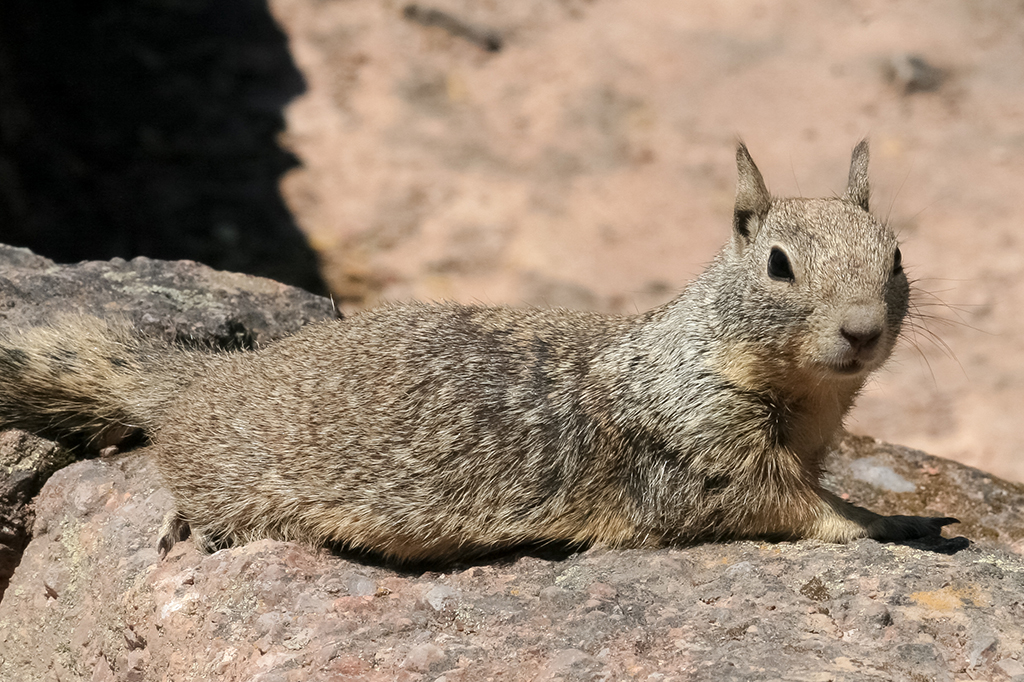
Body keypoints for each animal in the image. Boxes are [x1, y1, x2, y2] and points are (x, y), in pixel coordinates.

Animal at [0, 142, 958, 557]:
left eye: (895, 255)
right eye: (778, 264)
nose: (862, 330)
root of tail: (203, 380)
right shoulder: (703, 455)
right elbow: (794, 509)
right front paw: (891, 520)